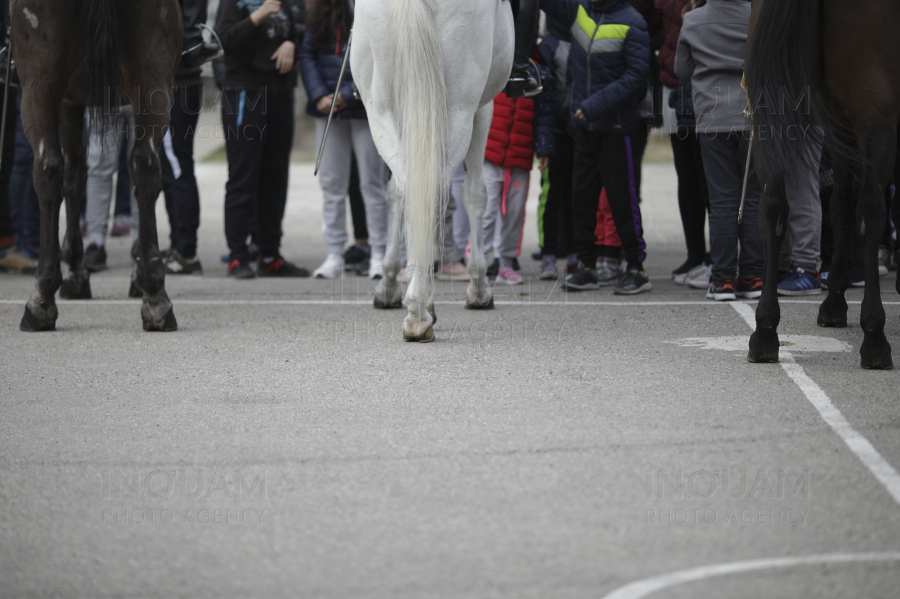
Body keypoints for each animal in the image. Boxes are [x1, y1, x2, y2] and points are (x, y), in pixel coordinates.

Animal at [350, 0, 510, 342]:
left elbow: (399, 195)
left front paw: (393, 281)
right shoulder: (482, 108)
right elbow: (475, 194)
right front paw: (478, 288)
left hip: (381, 112)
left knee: (409, 189)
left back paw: (412, 301)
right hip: (460, 110)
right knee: (435, 190)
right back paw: (421, 311)